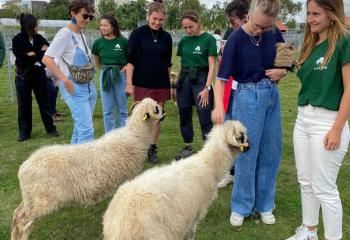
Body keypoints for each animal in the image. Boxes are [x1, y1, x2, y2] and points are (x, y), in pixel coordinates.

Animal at [10, 97, 167, 240]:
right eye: (156, 109)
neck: (135, 136)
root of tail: (24, 168)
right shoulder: (128, 176)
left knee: (17, 214)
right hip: (44, 200)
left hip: (31, 197)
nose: (164, 111)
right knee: (23, 221)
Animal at [102, 120, 249, 240]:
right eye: (241, 135)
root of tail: (120, 228)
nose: (249, 147)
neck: (208, 165)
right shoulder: (195, 213)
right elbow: (191, 233)